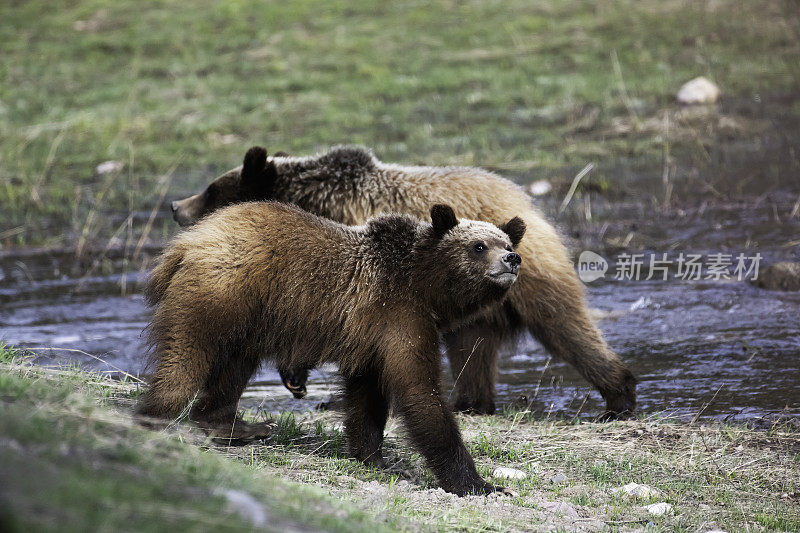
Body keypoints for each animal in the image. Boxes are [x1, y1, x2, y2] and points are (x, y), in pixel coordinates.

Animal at [138, 194, 524, 494]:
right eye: (478, 246)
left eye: (507, 242)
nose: (512, 259)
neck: (425, 285)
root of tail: (187, 242)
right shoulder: (400, 313)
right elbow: (420, 390)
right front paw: (478, 483)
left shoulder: (372, 336)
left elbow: (368, 397)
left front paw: (373, 456)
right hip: (223, 292)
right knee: (185, 359)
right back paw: (156, 417)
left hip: (248, 316)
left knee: (233, 368)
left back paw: (237, 426)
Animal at [173, 145, 636, 416]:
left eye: (211, 188)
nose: (177, 206)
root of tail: (523, 200)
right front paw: (300, 379)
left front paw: (301, 378)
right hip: (476, 301)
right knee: (472, 348)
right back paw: (470, 403)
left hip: (528, 276)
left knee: (563, 324)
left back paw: (619, 395)